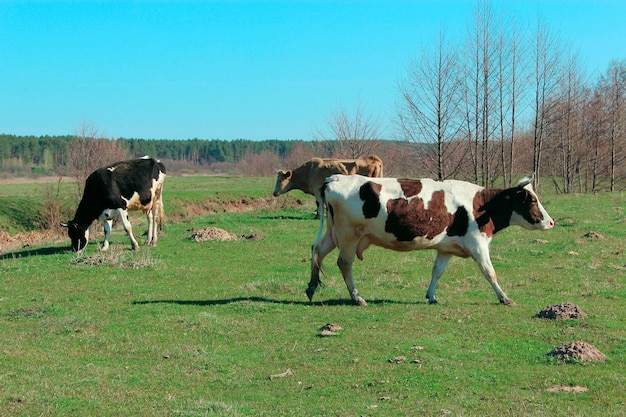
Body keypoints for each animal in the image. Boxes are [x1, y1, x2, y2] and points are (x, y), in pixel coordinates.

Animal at [306, 173, 552, 306]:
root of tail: (334, 177)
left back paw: (311, 287)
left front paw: (431, 295)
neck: (481, 204)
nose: (551, 222)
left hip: (334, 234)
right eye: (532, 200)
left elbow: (437, 271)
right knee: (344, 263)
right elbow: (489, 272)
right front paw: (505, 298)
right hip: (349, 235)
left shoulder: (446, 248)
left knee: (317, 250)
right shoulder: (478, 244)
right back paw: (357, 298)